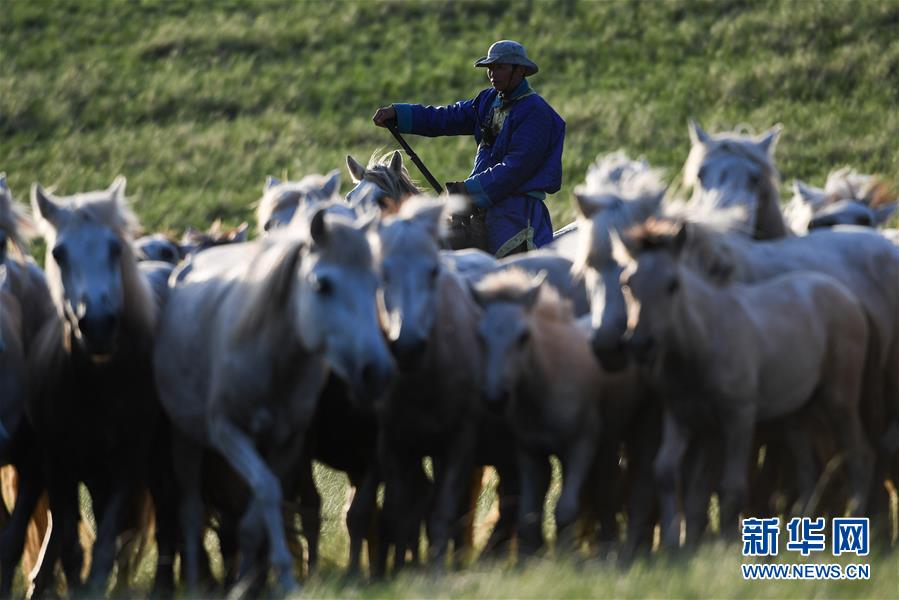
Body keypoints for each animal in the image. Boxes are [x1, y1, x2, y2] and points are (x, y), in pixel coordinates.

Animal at [26, 176, 176, 592]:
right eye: (58, 253)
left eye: (114, 248)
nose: (97, 326)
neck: (96, 387)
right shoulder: (59, 466)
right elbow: (72, 545)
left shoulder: (126, 464)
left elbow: (109, 540)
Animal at [156, 206, 396, 592]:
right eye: (322, 284)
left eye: (377, 283)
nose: (376, 371)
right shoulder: (228, 432)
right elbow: (266, 494)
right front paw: (272, 575)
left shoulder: (294, 444)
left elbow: (266, 504)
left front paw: (260, 578)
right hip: (186, 439)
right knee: (191, 511)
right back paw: (195, 580)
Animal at [616, 220, 876, 548]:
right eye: (627, 282)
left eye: (673, 284)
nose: (640, 344)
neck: (703, 341)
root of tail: (848, 296)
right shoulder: (682, 416)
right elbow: (667, 473)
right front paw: (675, 545)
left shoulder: (738, 416)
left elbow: (732, 486)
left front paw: (726, 547)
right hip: (797, 411)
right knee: (807, 468)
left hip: (839, 400)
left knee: (859, 454)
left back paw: (857, 522)